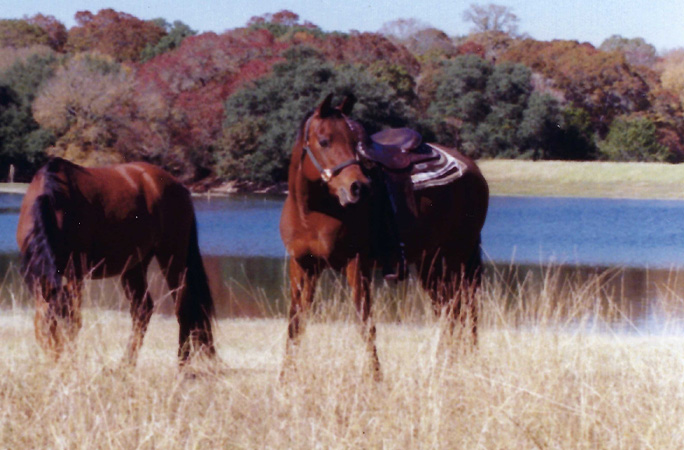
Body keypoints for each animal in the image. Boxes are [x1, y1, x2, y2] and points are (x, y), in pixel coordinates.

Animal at [16, 157, 216, 366]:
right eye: (47, 327)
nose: (61, 364)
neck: (54, 203)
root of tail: (179, 186)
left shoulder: (75, 272)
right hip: (135, 265)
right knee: (142, 310)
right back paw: (125, 367)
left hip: (171, 256)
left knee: (183, 307)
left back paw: (181, 365)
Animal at [279, 94, 489, 379]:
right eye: (324, 141)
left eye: (354, 144)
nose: (358, 187)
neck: (312, 212)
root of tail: (472, 168)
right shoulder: (302, 266)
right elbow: (295, 324)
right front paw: (284, 379)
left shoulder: (356, 264)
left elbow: (366, 325)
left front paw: (376, 379)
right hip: (430, 263)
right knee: (448, 310)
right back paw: (445, 365)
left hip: (458, 256)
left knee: (463, 308)